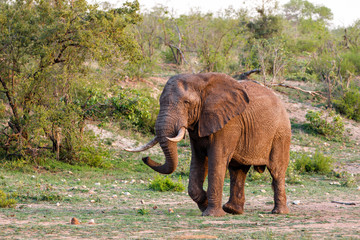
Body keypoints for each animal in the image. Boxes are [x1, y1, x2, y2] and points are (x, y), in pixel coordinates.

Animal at [125, 72, 292, 217]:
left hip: (281, 133)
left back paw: (278, 212)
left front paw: (211, 214)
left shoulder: (229, 123)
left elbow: (216, 159)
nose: (145, 158)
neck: (200, 80)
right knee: (238, 170)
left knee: (276, 170)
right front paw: (204, 203)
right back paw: (232, 210)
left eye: (186, 103)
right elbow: (198, 160)